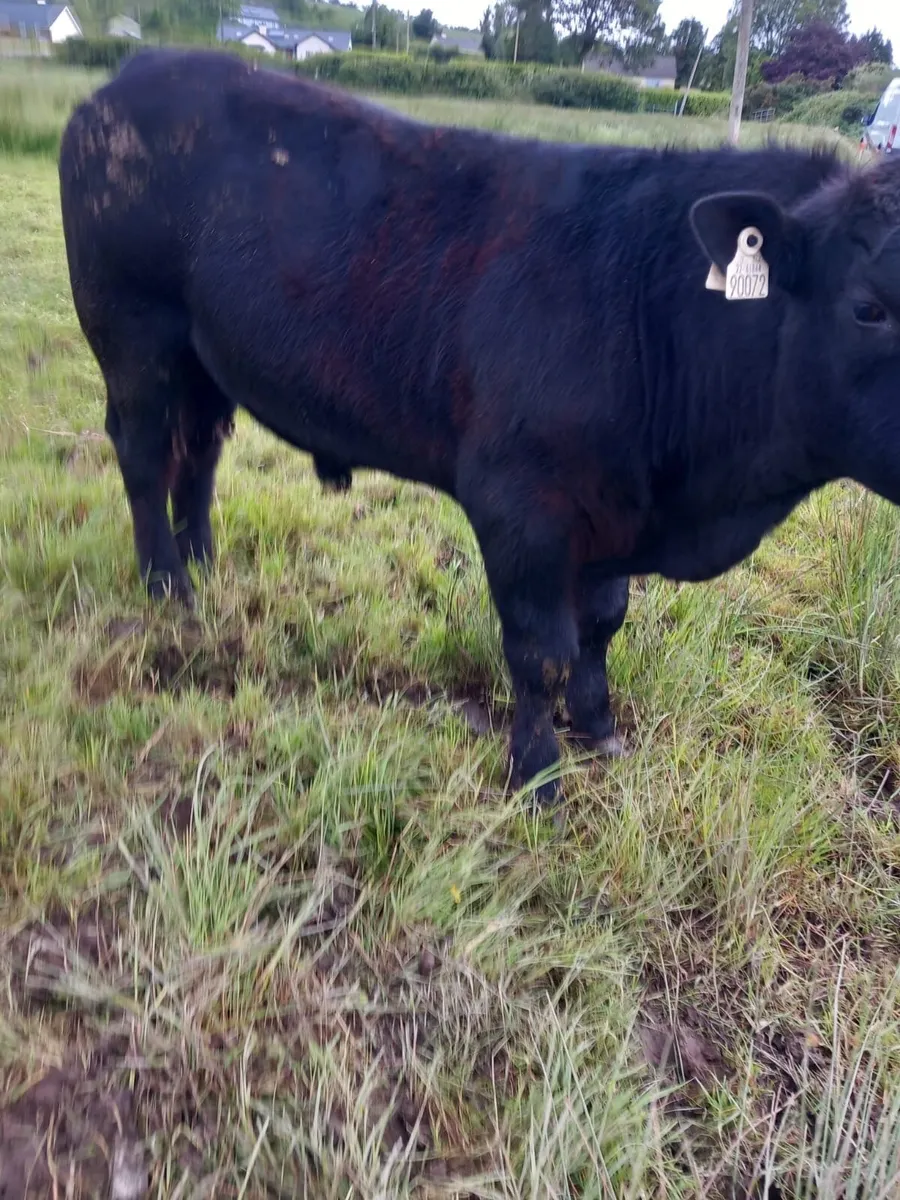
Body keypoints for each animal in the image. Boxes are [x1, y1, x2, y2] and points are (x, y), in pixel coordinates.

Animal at [58, 48, 900, 807]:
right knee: (144, 457)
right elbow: (540, 653)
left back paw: (202, 567)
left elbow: (603, 624)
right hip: (134, 334)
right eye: (868, 307)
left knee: (197, 454)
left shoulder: (612, 509)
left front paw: (600, 728)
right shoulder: (519, 506)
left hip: (204, 356)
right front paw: (538, 773)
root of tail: (132, 73)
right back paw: (167, 586)